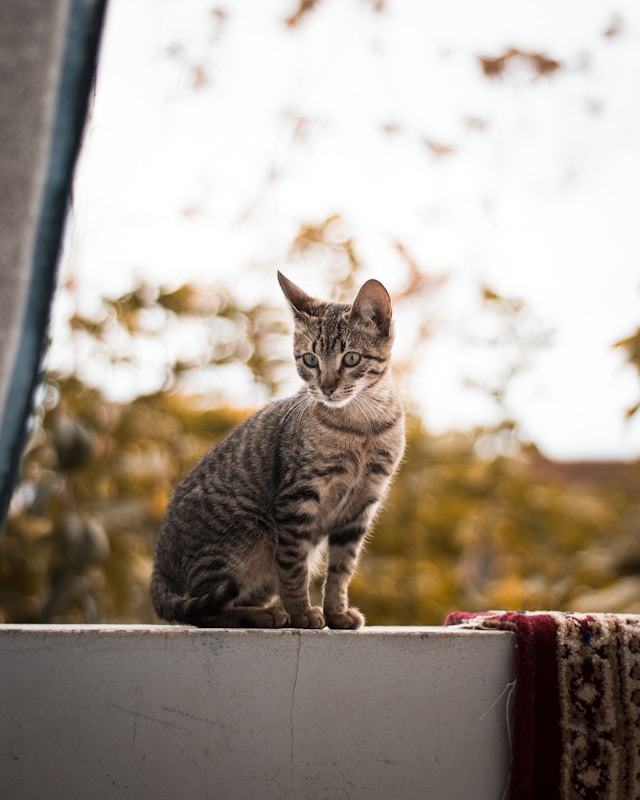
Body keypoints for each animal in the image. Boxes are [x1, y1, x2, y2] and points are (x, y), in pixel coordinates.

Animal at [150, 272, 404, 628]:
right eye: (310, 359)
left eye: (351, 358)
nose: (326, 387)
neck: (361, 426)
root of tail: (159, 564)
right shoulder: (296, 500)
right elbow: (294, 566)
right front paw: (301, 612)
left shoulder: (360, 506)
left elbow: (341, 568)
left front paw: (336, 612)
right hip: (246, 539)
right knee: (205, 611)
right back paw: (267, 614)